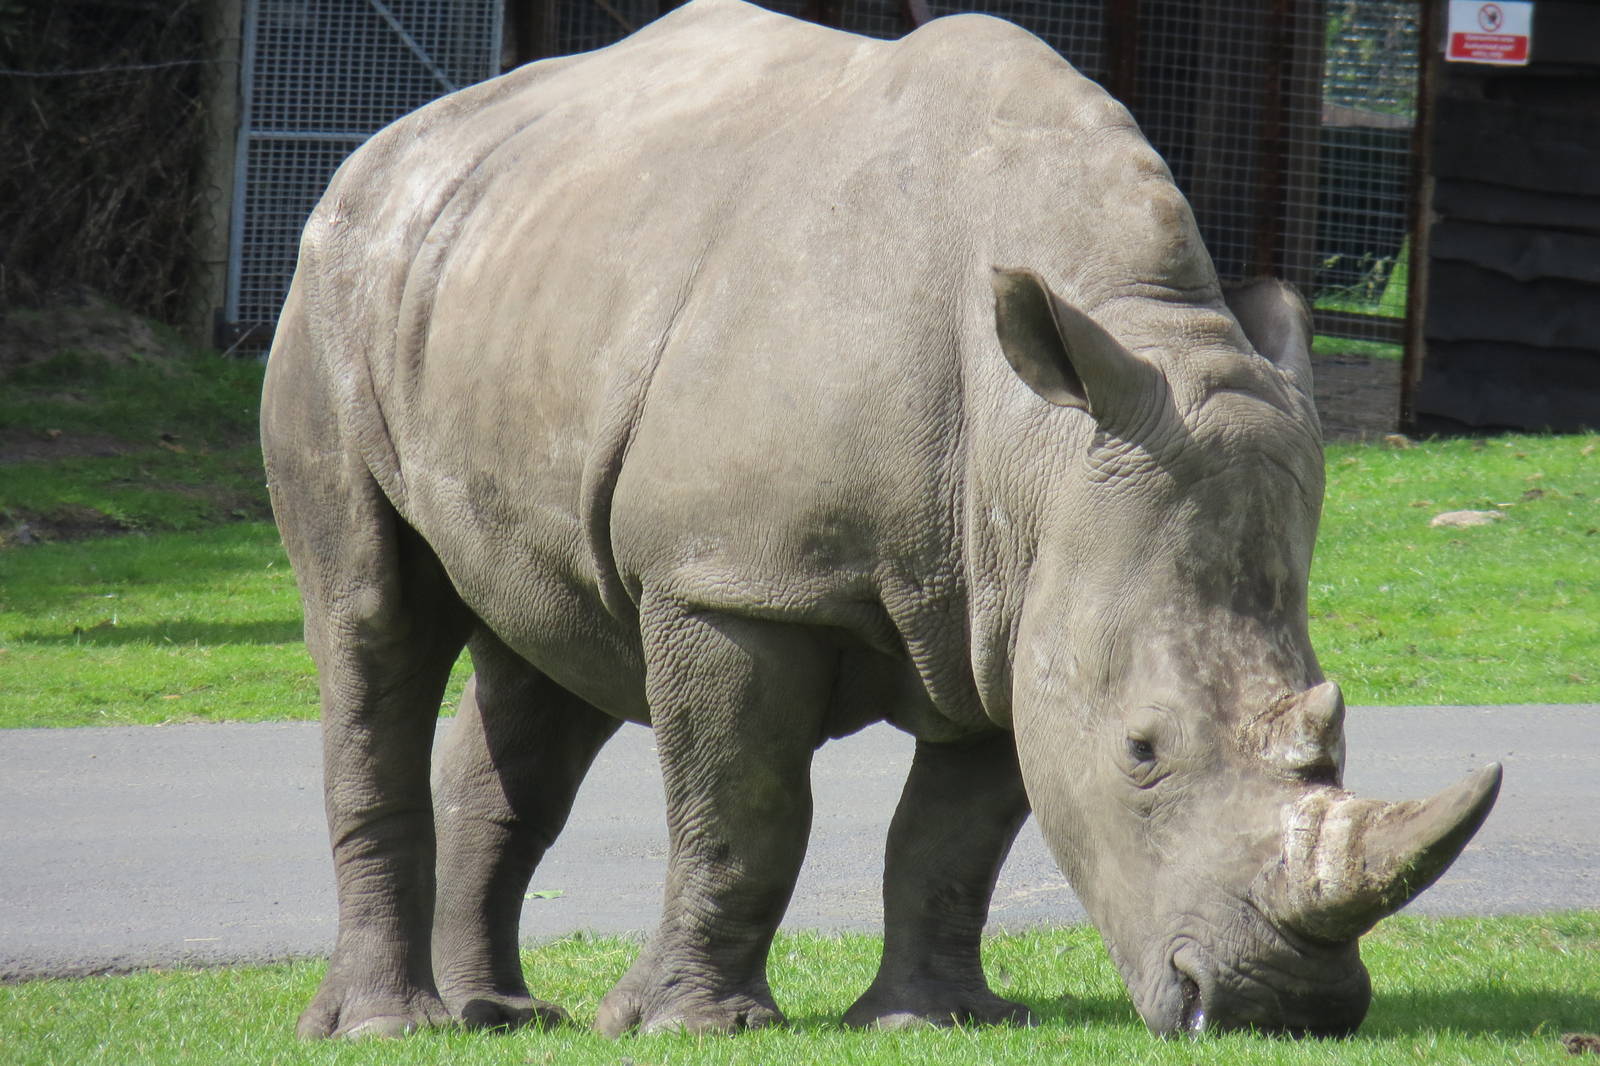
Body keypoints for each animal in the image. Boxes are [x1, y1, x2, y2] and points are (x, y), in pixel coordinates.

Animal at [261, 0, 1500, 1040]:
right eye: (1142, 751)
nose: (1279, 1008)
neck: (1039, 440)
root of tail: (388, 144)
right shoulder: (731, 577)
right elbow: (744, 808)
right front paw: (690, 1027)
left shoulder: (1017, 599)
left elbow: (952, 836)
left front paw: (929, 1018)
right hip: (330, 286)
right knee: (376, 624)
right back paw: (391, 1027)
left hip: (512, 286)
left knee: (549, 651)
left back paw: (503, 1014)